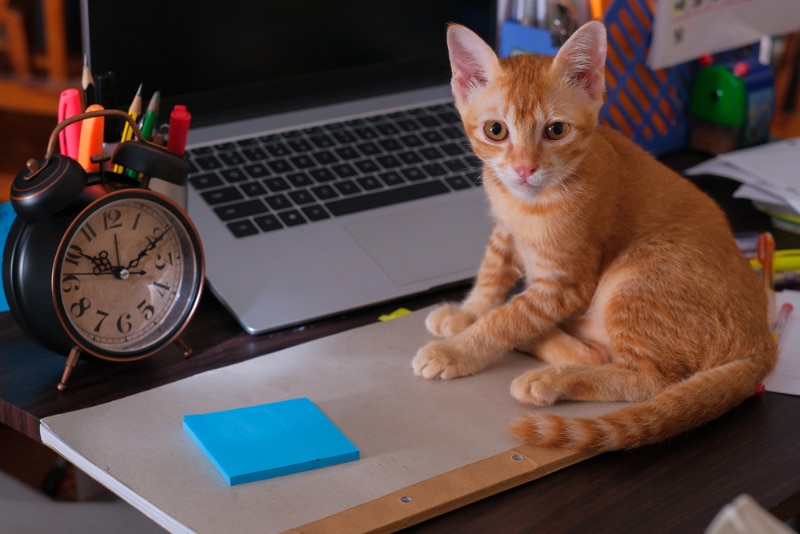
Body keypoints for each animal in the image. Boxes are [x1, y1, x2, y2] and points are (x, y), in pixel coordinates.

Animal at [412, 23, 776, 454]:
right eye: (495, 130)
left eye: (556, 130)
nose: (523, 169)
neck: (528, 205)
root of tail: (763, 342)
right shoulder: (504, 233)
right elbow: (491, 276)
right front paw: (468, 313)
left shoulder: (566, 284)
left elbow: (507, 319)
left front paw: (458, 350)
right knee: (599, 352)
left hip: (639, 278)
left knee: (646, 377)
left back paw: (550, 376)